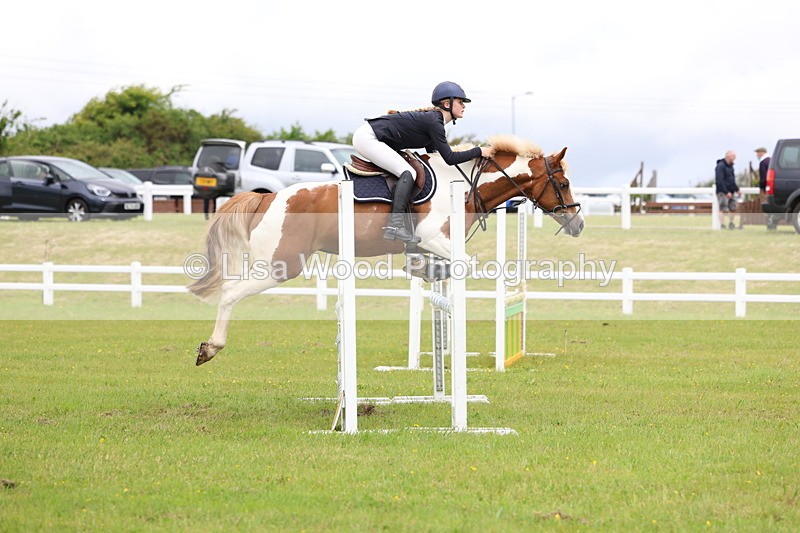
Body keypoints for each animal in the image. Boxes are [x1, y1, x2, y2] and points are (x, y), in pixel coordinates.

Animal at [189, 134, 584, 365]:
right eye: (563, 182)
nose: (578, 224)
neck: (463, 184)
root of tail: (267, 198)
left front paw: (424, 273)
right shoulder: (431, 236)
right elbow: (465, 264)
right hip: (280, 265)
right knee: (230, 291)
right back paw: (210, 347)